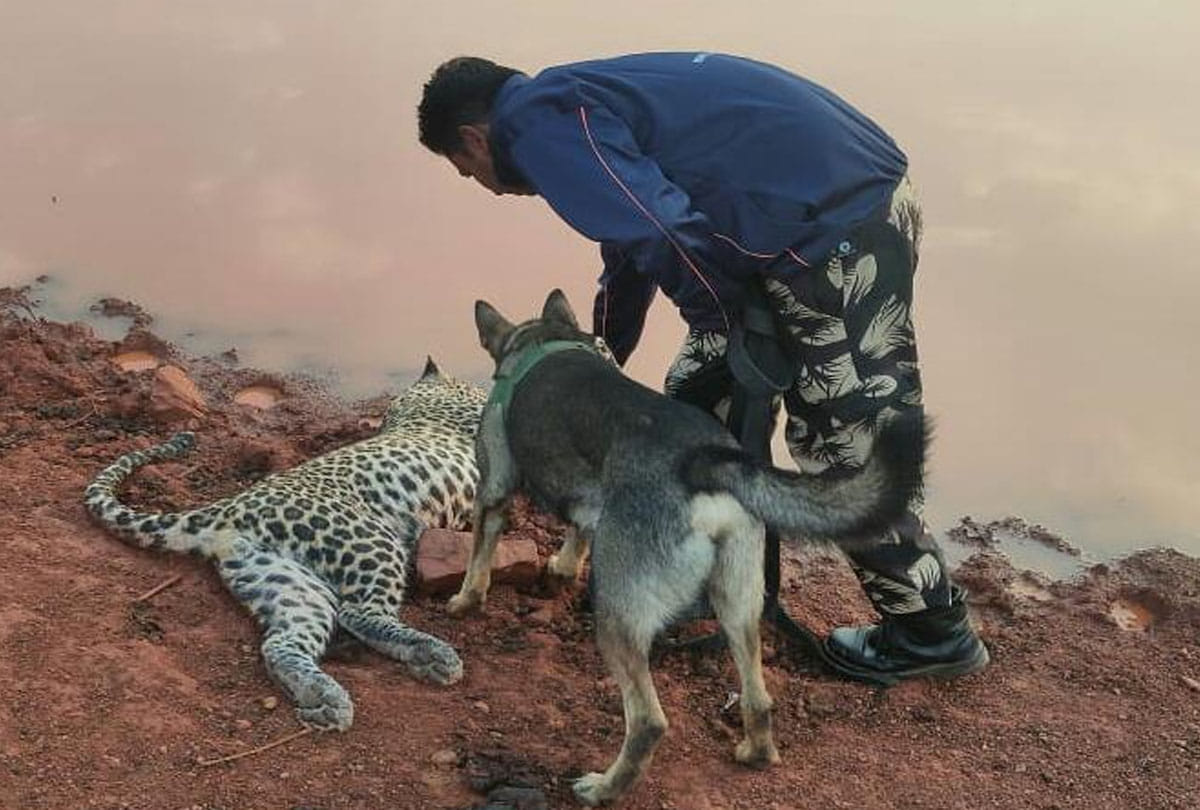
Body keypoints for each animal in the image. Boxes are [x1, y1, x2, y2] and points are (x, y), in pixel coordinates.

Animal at [84, 357, 486, 731]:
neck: (414, 403)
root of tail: (228, 509)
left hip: (286, 582)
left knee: (282, 644)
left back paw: (326, 698)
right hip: (370, 543)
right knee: (357, 613)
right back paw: (432, 653)